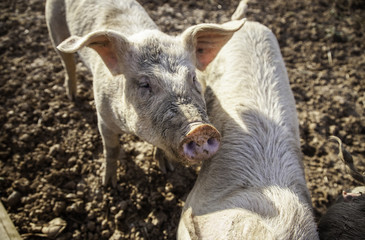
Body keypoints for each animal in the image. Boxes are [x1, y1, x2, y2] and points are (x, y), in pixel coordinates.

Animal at [45, 0, 245, 187]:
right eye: (144, 84)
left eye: (193, 77)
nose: (200, 129)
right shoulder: (103, 117)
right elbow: (111, 148)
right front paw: (109, 185)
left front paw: (167, 169)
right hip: (53, 24)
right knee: (67, 62)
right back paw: (72, 96)